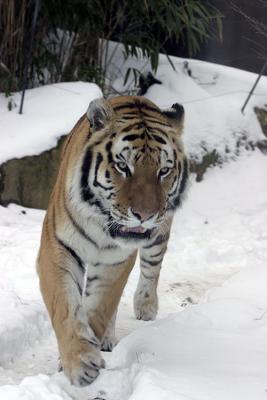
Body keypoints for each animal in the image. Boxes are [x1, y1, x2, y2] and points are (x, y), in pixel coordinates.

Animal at [36, 95, 189, 386]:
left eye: (163, 171)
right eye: (123, 167)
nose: (145, 215)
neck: (101, 223)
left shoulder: (116, 260)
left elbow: (99, 307)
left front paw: (84, 354)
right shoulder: (58, 247)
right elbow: (66, 306)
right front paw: (79, 362)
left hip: (159, 235)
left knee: (152, 268)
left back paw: (144, 307)